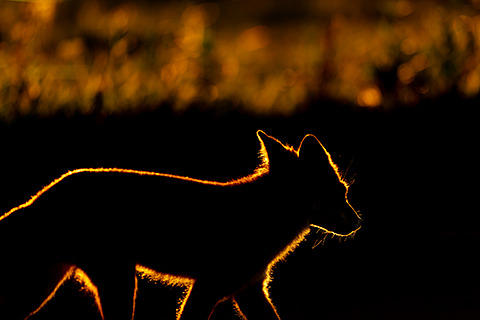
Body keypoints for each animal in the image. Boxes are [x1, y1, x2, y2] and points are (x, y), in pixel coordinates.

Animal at [0, 130, 360, 320]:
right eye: (338, 195)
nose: (359, 222)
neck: (260, 217)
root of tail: (38, 197)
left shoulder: (249, 291)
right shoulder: (208, 288)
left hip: (50, 288)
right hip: (118, 283)